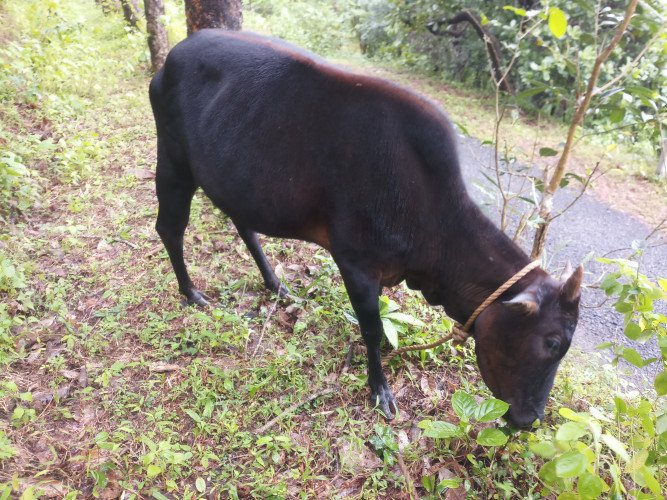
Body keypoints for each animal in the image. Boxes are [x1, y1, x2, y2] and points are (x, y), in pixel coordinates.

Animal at [150, 29, 584, 428]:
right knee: (169, 229)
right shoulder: (356, 264)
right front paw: (380, 390)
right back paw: (191, 293)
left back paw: (275, 284)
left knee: (244, 226)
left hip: (238, 183)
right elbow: (372, 329)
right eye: (552, 342)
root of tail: (173, 56)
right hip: (173, 161)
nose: (529, 419)